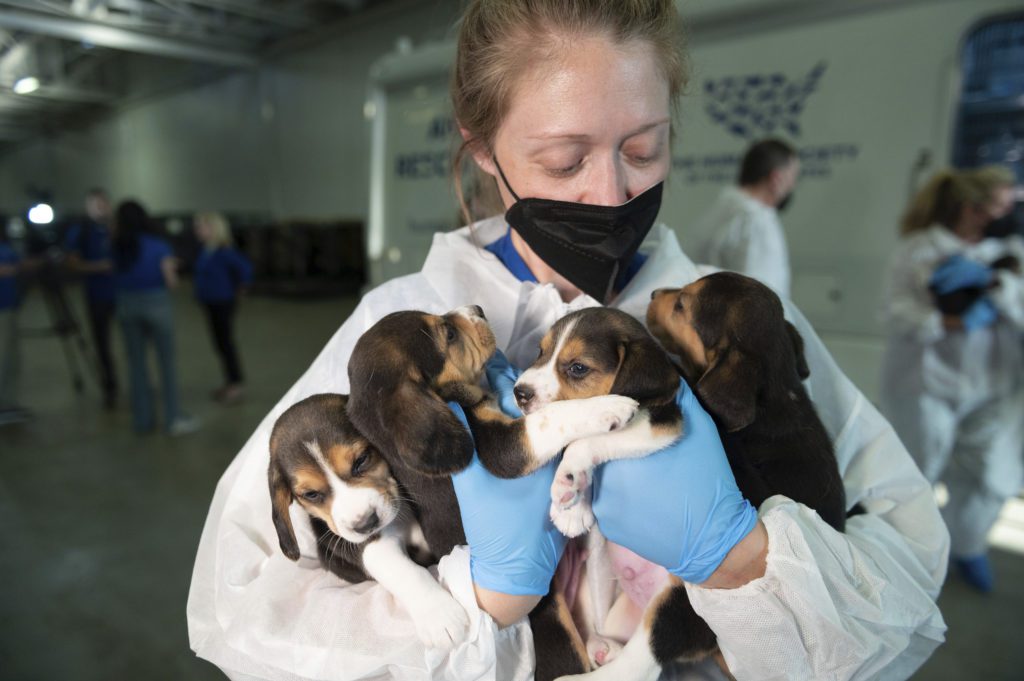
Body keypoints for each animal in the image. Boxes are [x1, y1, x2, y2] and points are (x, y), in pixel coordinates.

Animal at [266, 391, 468, 647]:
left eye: (361, 460)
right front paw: (440, 617)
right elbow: (404, 572)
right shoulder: (367, 545)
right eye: (311, 494)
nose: (366, 524)